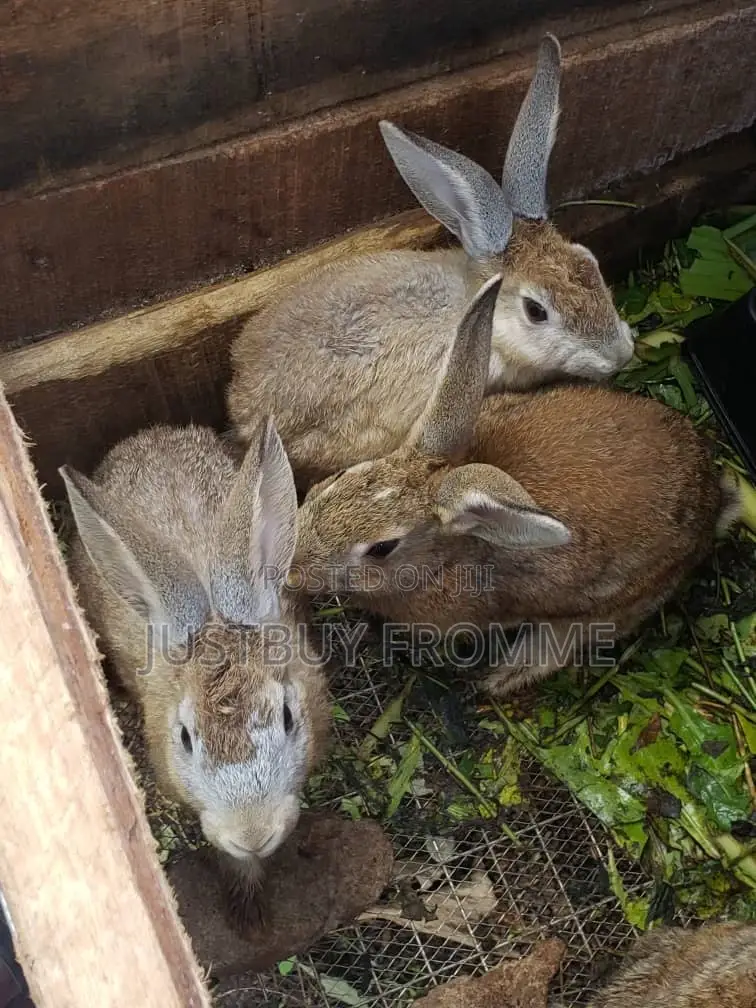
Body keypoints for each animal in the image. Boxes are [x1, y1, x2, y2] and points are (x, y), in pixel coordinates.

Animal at [293, 275, 740, 697]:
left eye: (382, 548)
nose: (294, 567)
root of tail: (712, 495)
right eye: (340, 478)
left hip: (607, 606)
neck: (446, 556)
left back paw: (503, 677)